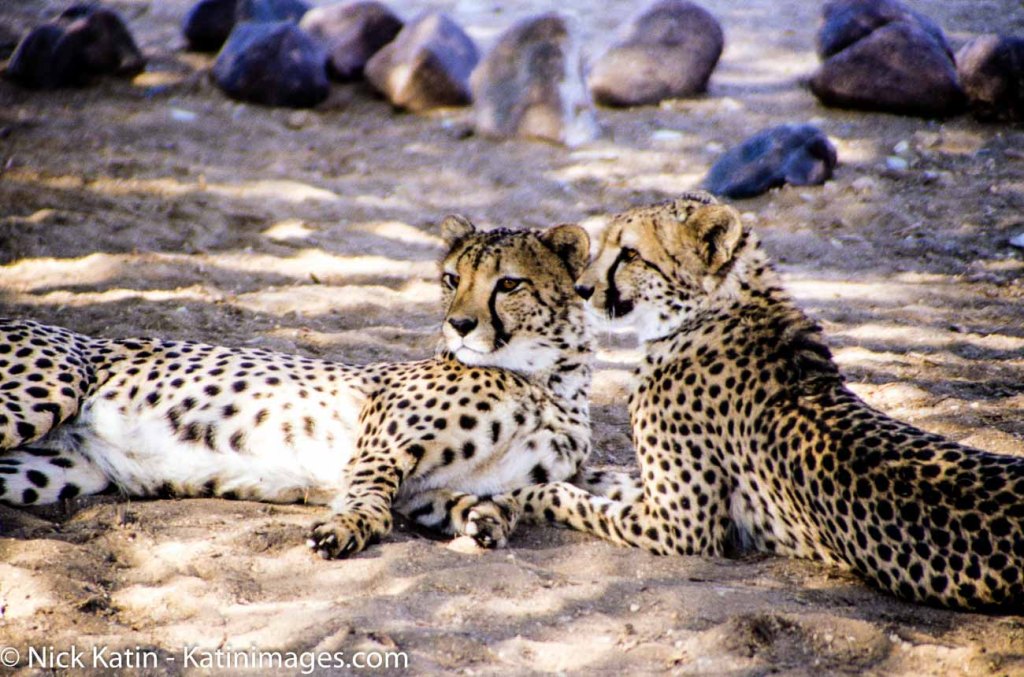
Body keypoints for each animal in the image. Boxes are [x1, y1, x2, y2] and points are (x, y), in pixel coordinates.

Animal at [0, 216, 602, 559]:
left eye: (509, 284)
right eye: (453, 279)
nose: (458, 324)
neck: (546, 377)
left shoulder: (428, 490)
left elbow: (485, 504)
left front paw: (486, 521)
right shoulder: (378, 450)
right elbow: (370, 502)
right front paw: (345, 529)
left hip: (57, 470)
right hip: (51, 388)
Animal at [514, 192, 1024, 611]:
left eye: (631, 254)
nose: (582, 289)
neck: (710, 313)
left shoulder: (682, 529)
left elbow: (575, 501)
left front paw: (527, 493)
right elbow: (604, 482)